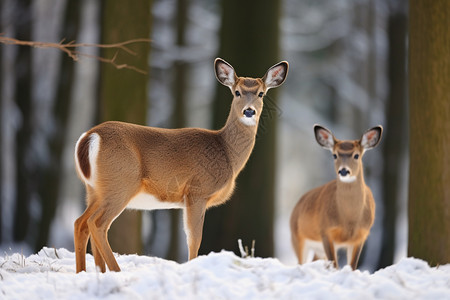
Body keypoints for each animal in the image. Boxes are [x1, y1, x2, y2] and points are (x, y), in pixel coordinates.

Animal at [72, 57, 286, 274]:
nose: (249, 111)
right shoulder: (197, 191)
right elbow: (194, 239)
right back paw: (115, 271)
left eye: (261, 93)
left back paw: (87, 272)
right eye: (237, 92)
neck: (226, 152)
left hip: (94, 189)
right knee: (96, 224)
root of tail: (90, 136)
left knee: (80, 223)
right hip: (120, 184)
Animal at [290, 124, 382, 270]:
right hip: (297, 236)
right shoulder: (325, 230)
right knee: (301, 262)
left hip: (317, 248)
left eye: (356, 155)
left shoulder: (361, 235)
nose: (343, 171)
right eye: (334, 155)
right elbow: (334, 265)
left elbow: (352, 266)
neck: (349, 221)